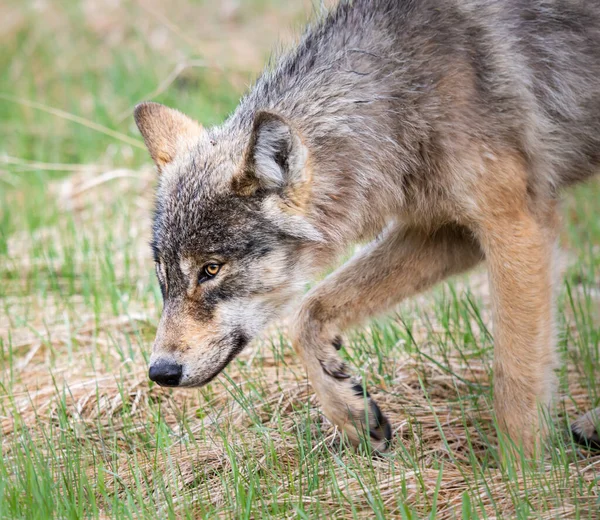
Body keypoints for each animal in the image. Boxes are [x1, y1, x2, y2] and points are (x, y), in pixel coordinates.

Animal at [135, 0, 600, 456]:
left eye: (211, 270)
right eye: (163, 276)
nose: (160, 372)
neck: (401, 94)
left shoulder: (513, 223)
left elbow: (515, 379)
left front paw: (523, 473)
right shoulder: (450, 233)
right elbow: (307, 313)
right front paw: (351, 413)